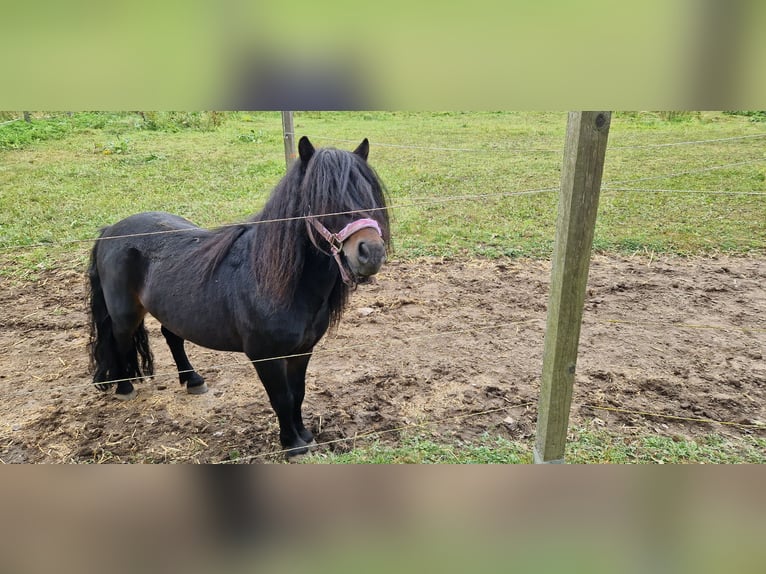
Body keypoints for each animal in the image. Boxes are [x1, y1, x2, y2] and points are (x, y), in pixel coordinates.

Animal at [88, 137, 390, 456]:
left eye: (370, 194)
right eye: (324, 200)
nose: (371, 253)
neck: (276, 284)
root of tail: (110, 230)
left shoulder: (302, 351)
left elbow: (298, 393)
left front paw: (305, 435)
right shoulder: (265, 356)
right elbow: (281, 397)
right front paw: (292, 444)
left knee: (172, 337)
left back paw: (193, 380)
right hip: (125, 314)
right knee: (119, 341)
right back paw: (124, 388)